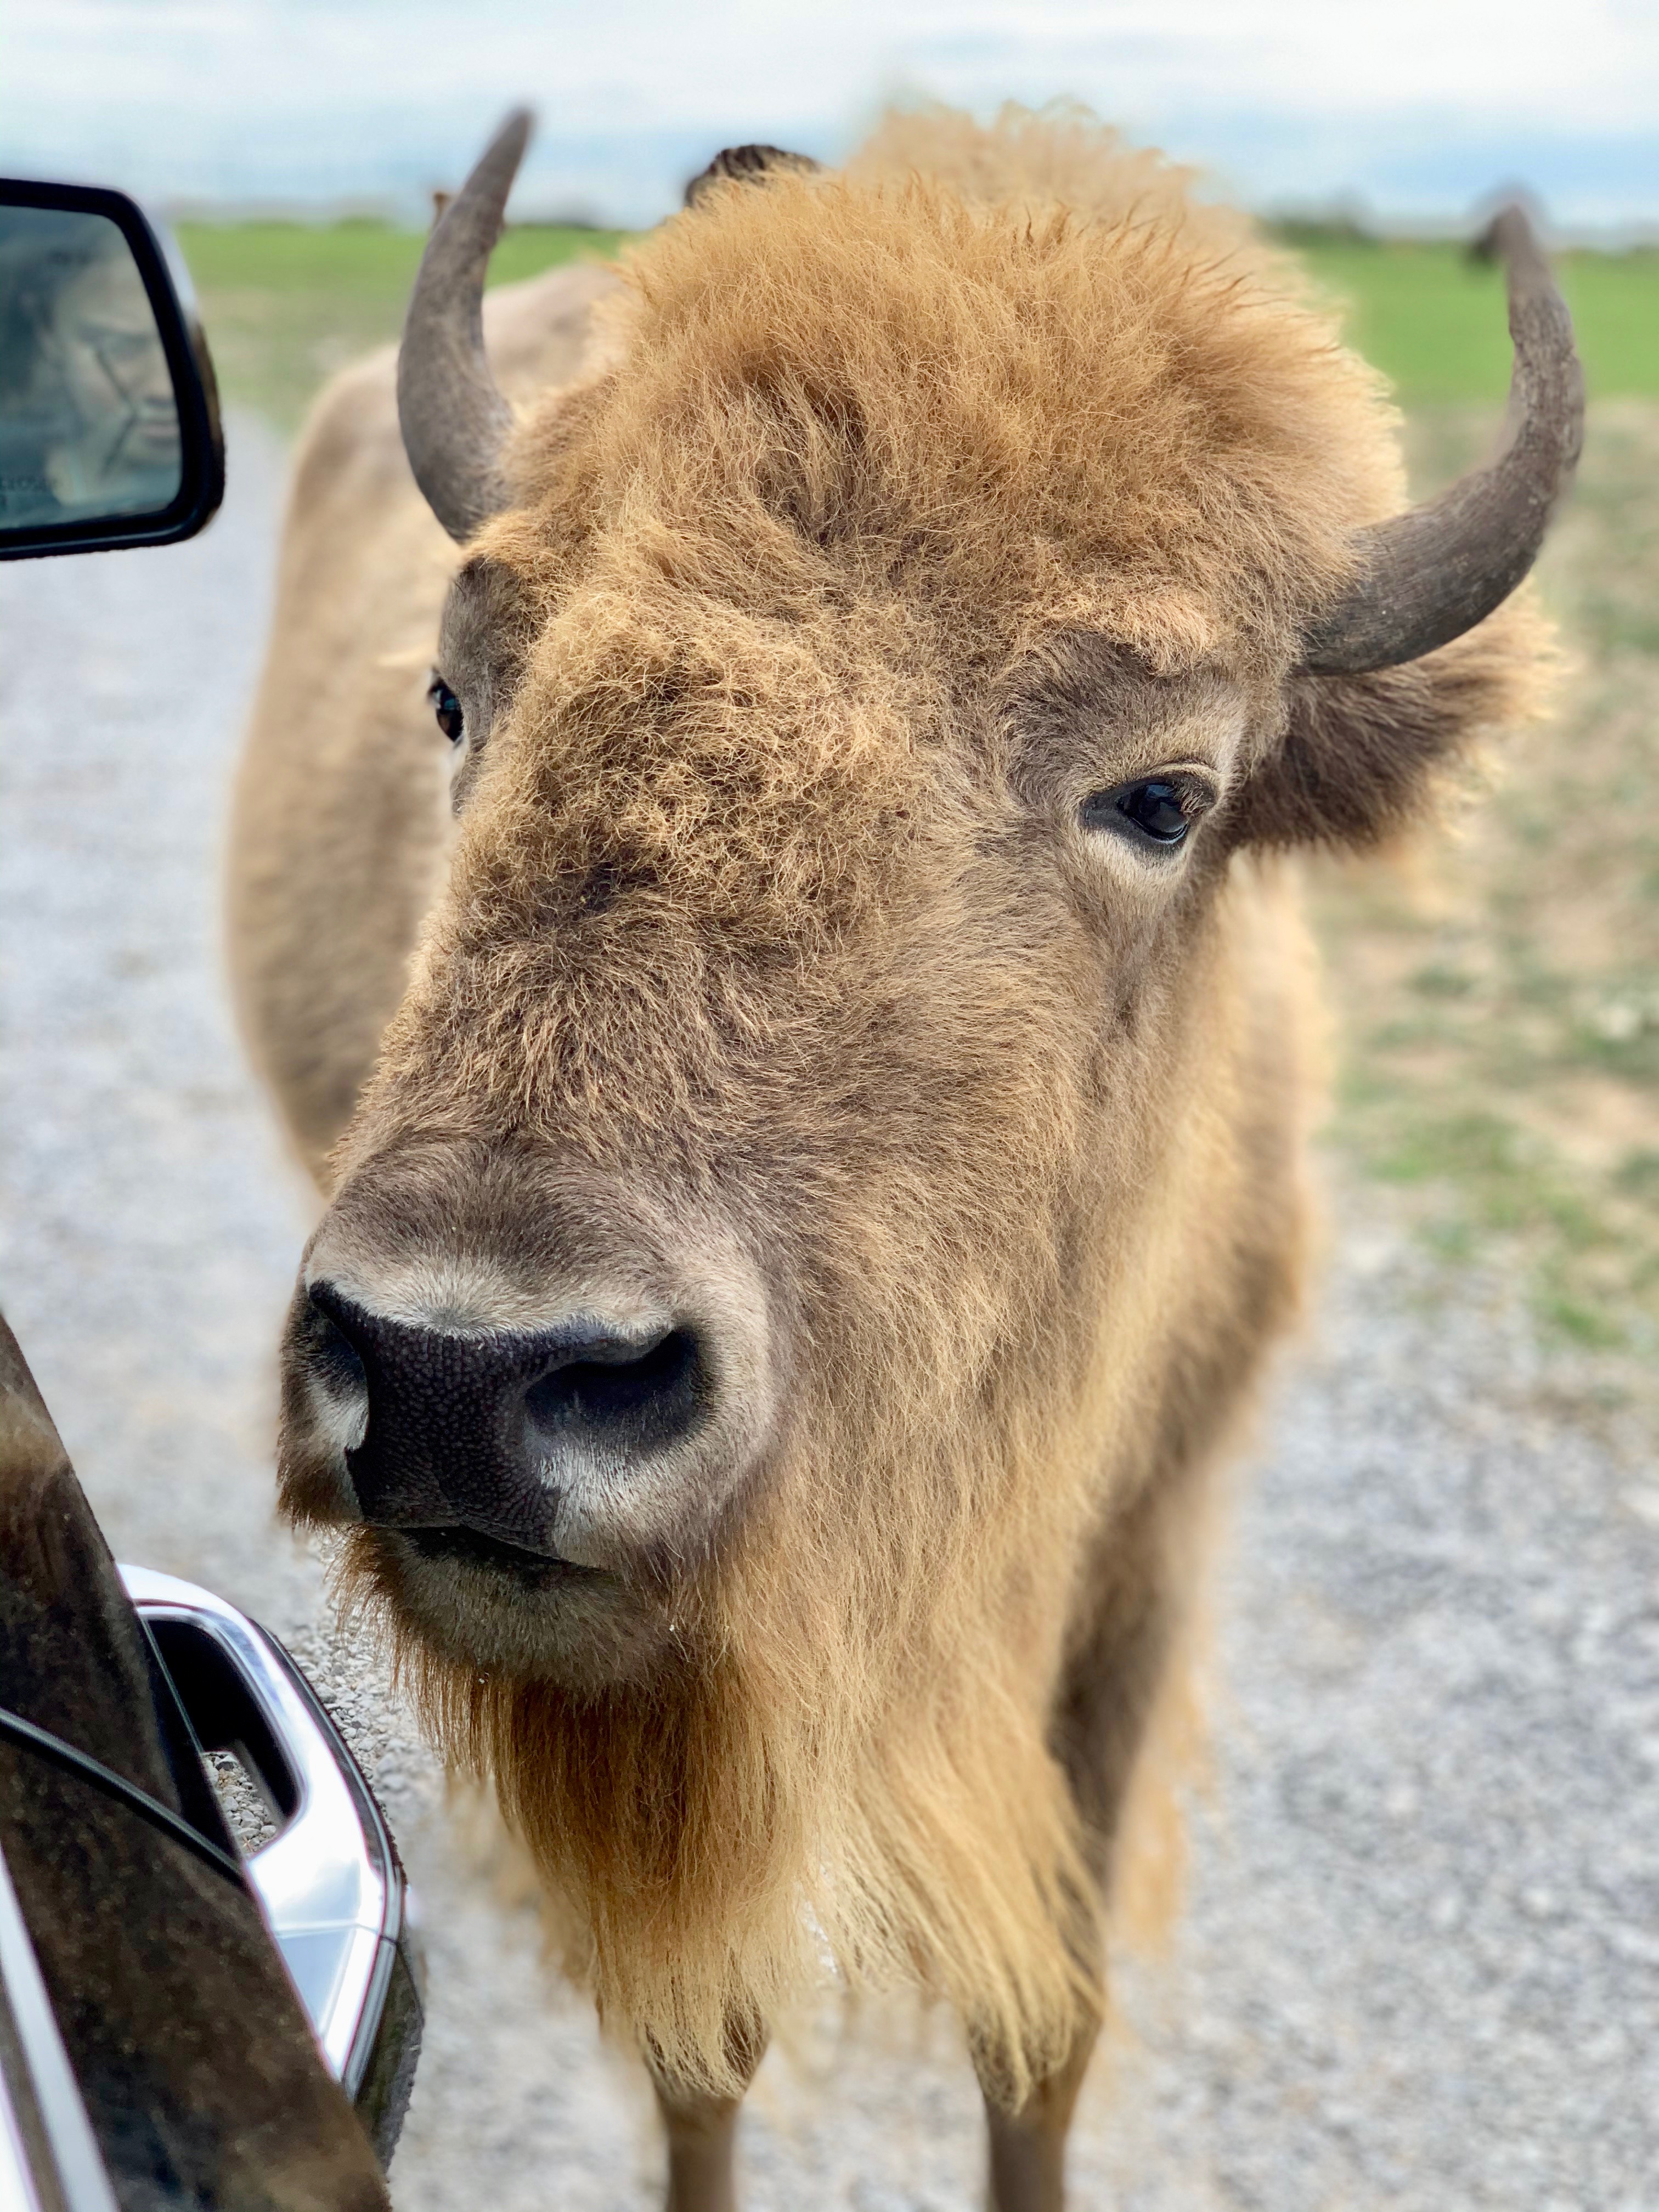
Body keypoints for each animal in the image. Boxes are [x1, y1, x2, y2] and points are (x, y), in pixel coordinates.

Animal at [227, 106, 1580, 2211]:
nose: (462, 1372)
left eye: (1164, 797)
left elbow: (1045, 2029)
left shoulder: (1134, 1583)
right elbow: (707, 2040)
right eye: (457, 695)